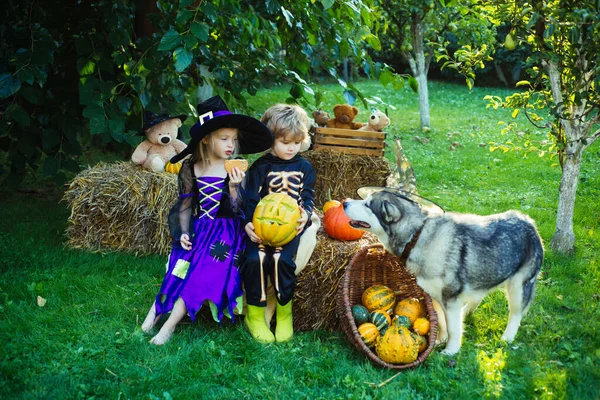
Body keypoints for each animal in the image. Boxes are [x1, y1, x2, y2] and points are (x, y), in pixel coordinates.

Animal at [342, 189, 544, 354]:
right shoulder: (435, 296)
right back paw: (466, 312)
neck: (417, 235)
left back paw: (507, 337)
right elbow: (442, 321)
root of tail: (528, 221)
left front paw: (451, 350)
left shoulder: (450, 298)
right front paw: (440, 339)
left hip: (519, 287)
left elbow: (453, 327)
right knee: (478, 295)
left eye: (367, 205)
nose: (344, 202)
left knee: (516, 313)